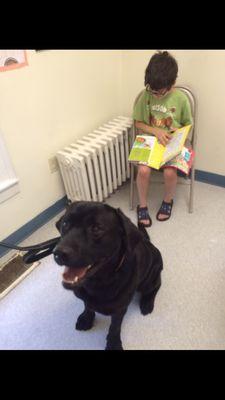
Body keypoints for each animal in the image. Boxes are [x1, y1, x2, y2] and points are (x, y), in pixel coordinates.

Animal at [53, 202, 163, 348]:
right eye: (65, 224)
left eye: (96, 228)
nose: (58, 253)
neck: (98, 282)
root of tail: (147, 241)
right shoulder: (85, 298)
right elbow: (87, 306)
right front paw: (86, 319)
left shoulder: (119, 310)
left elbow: (114, 327)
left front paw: (113, 343)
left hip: (149, 280)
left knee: (156, 286)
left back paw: (147, 303)